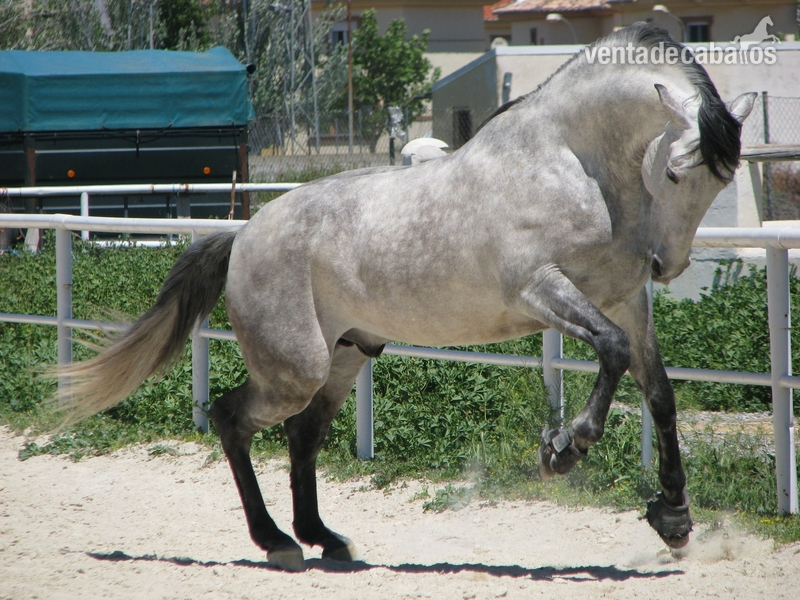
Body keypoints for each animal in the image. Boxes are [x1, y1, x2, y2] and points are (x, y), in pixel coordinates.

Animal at [57, 23, 756, 571]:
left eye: (725, 179)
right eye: (675, 173)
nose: (667, 265)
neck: (570, 163)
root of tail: (244, 233)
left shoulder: (625, 301)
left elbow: (658, 394)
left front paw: (674, 518)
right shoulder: (541, 288)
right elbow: (610, 353)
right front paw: (565, 448)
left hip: (344, 356)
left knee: (302, 437)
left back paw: (324, 539)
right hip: (295, 368)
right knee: (232, 420)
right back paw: (277, 542)